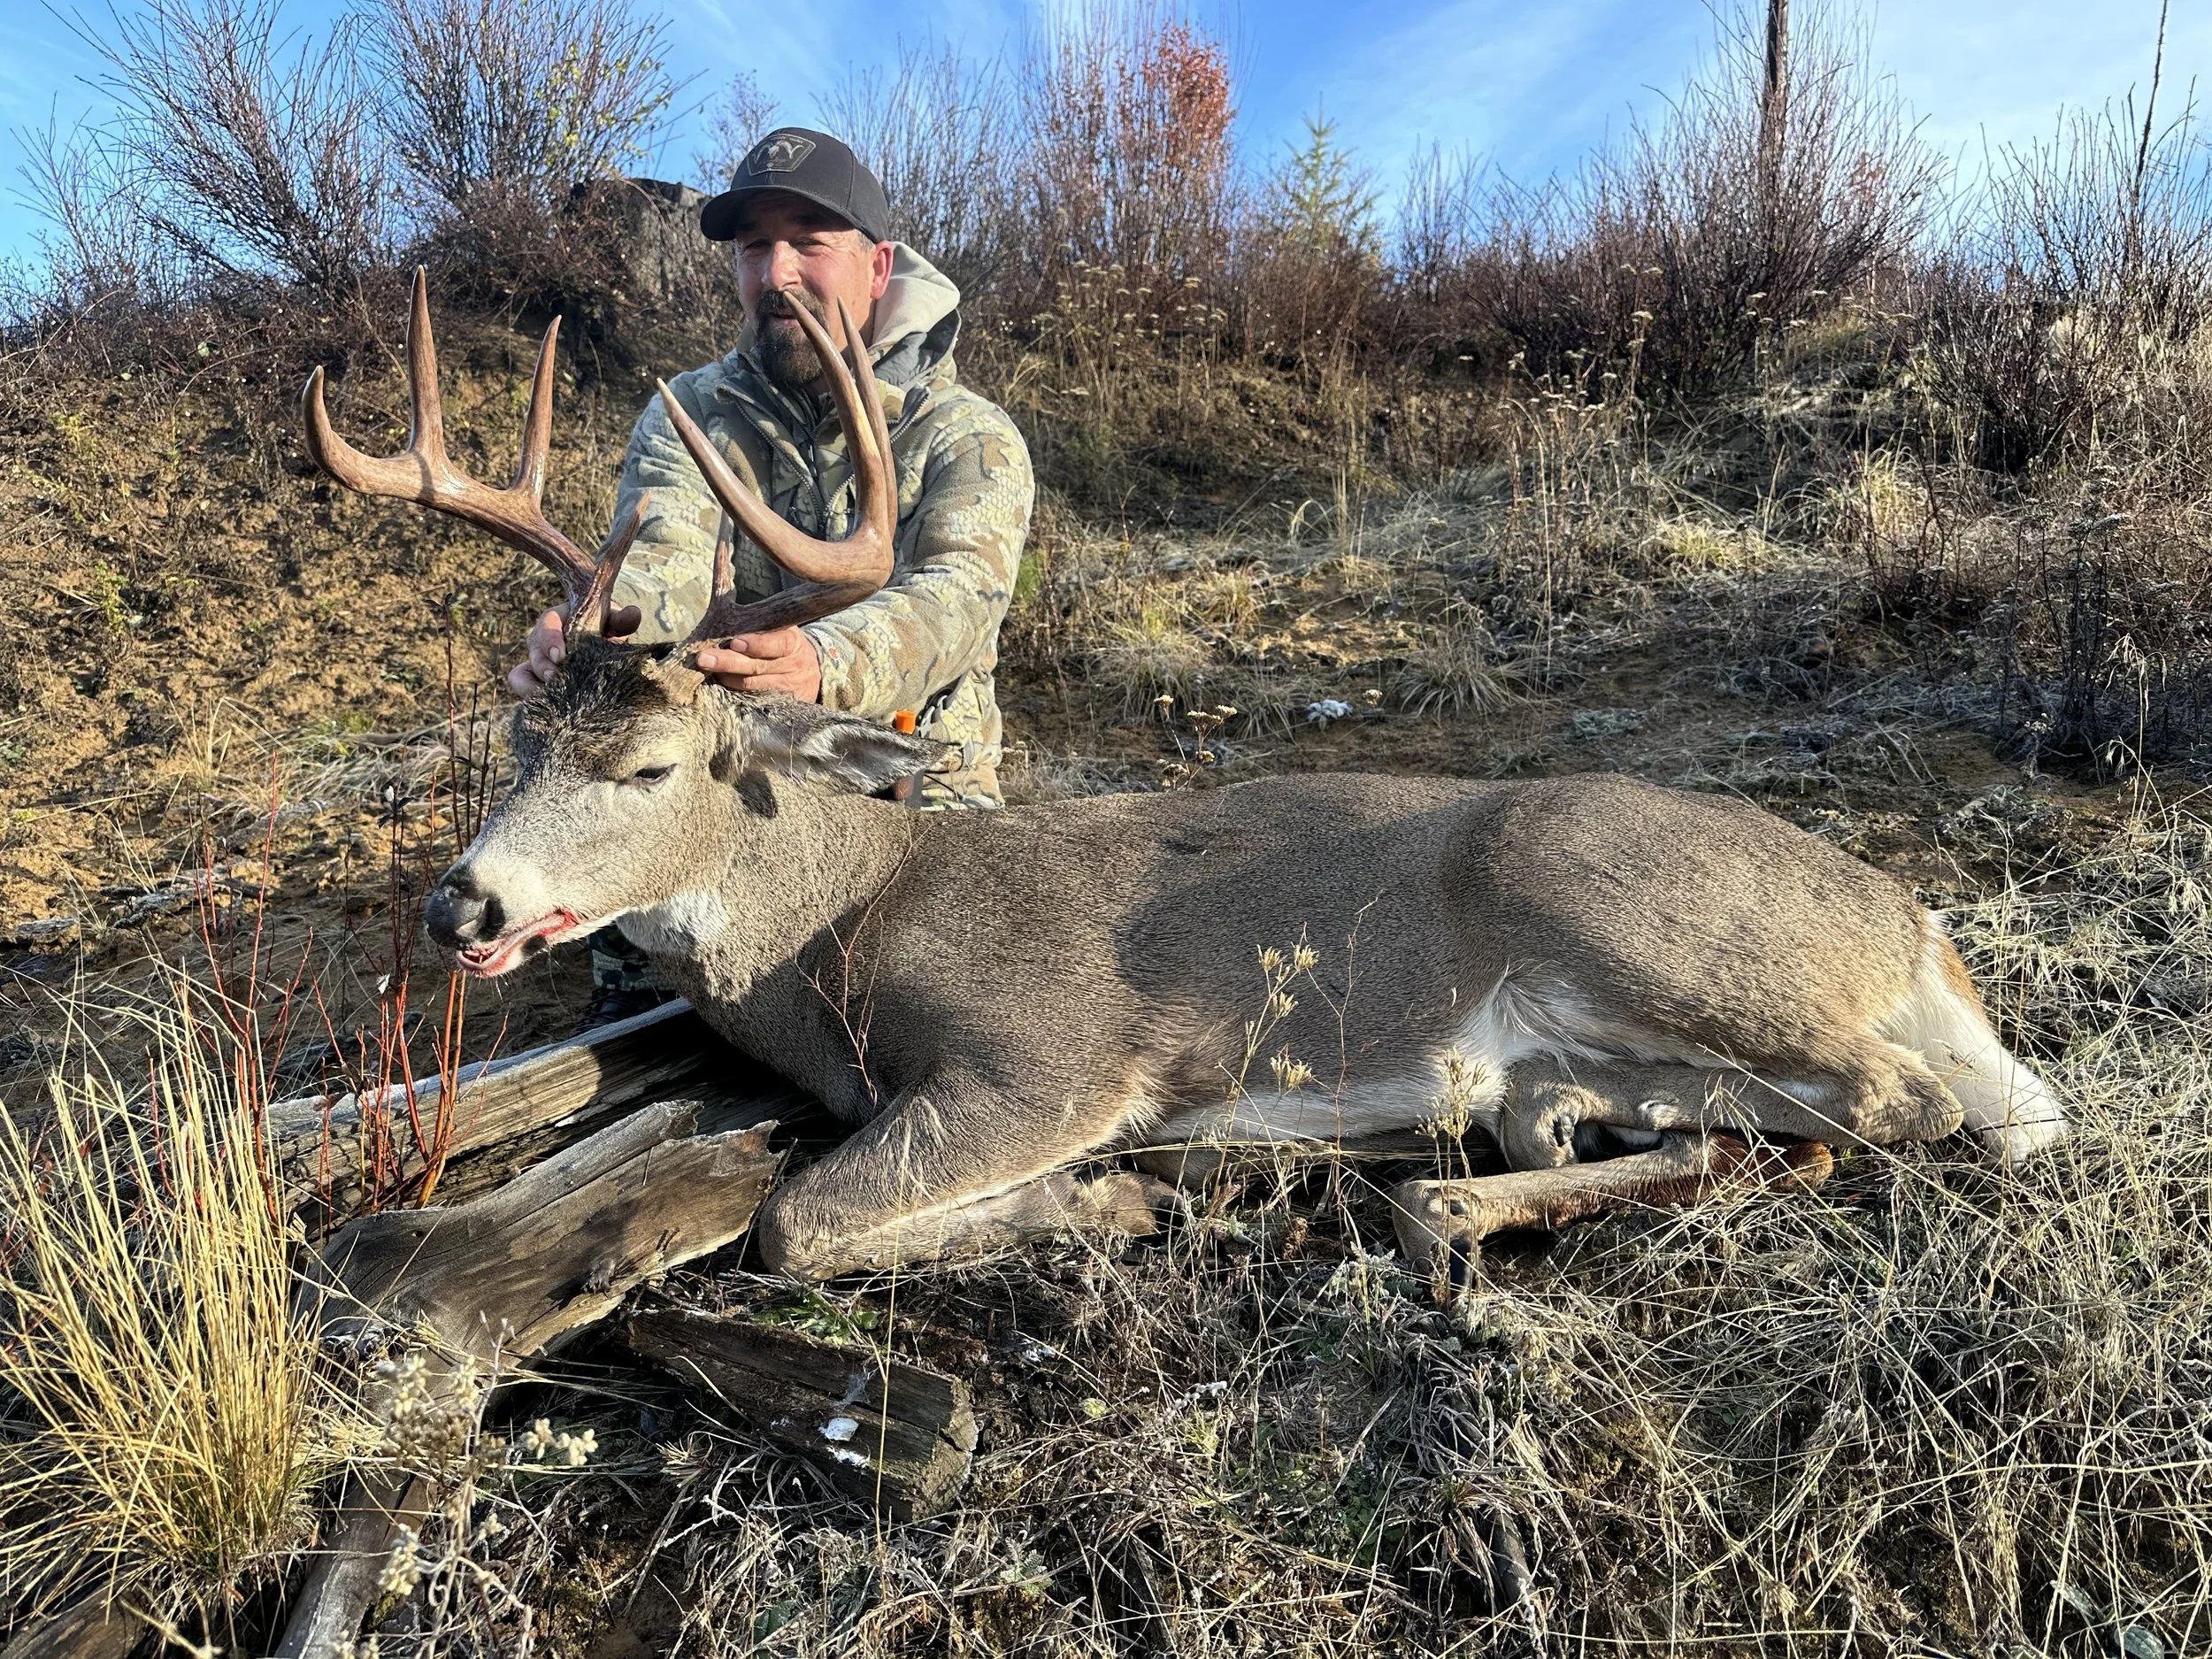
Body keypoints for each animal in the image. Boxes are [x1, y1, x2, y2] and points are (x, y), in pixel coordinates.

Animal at [300, 273, 2068, 1283]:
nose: (465, 906)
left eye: (654, 758)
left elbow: (798, 1221)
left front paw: (1100, 1209)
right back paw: (1496, 1159)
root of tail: (1919, 928)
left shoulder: (1052, 1057)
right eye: (524, 737)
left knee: (1937, 1107)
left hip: (1619, 902)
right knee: (1748, 1124)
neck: (842, 934)